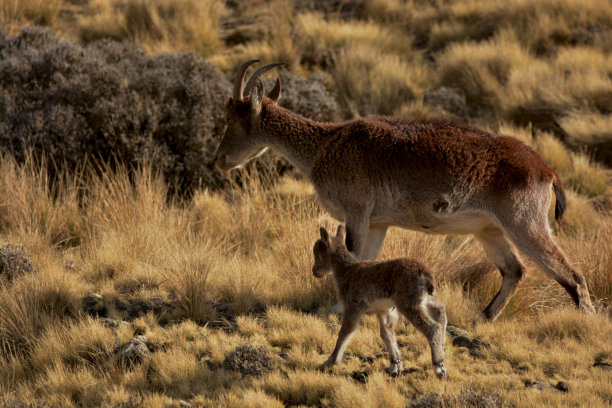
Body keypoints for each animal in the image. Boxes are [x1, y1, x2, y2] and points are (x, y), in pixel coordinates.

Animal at [314, 225, 448, 378]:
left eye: (317, 254)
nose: (314, 272)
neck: (346, 271)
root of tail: (427, 275)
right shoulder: (383, 310)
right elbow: (386, 334)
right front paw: (396, 365)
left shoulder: (353, 305)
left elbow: (346, 331)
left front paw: (331, 360)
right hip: (423, 299)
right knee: (440, 309)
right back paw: (443, 346)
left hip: (408, 302)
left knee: (432, 326)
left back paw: (439, 366)